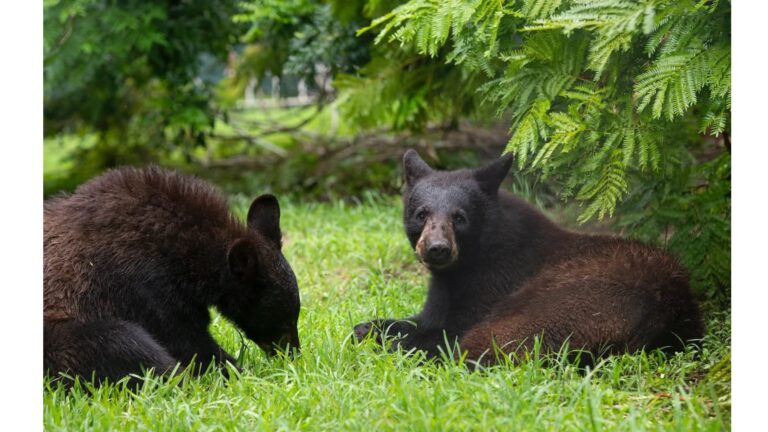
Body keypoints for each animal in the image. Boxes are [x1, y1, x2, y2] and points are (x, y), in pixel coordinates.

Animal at [354, 150, 703, 366]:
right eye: (421, 213)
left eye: (460, 217)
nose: (437, 248)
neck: (471, 260)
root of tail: (668, 311)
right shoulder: (443, 292)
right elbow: (422, 319)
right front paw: (369, 326)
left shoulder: (495, 281)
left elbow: (447, 332)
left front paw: (393, 340)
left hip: (566, 302)